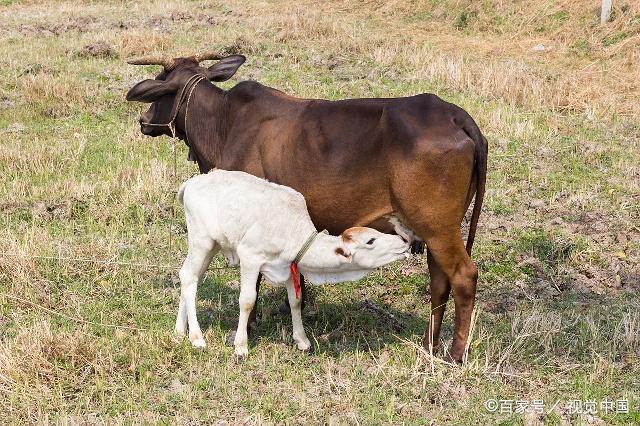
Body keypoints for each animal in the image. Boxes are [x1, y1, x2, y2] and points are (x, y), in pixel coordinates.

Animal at [126, 51, 490, 362]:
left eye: (160, 87)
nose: (144, 120)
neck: (223, 122)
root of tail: (454, 115)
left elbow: (252, 287)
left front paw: (247, 330)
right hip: (435, 231)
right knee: (440, 282)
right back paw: (429, 344)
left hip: (438, 228)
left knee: (463, 277)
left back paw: (455, 353)